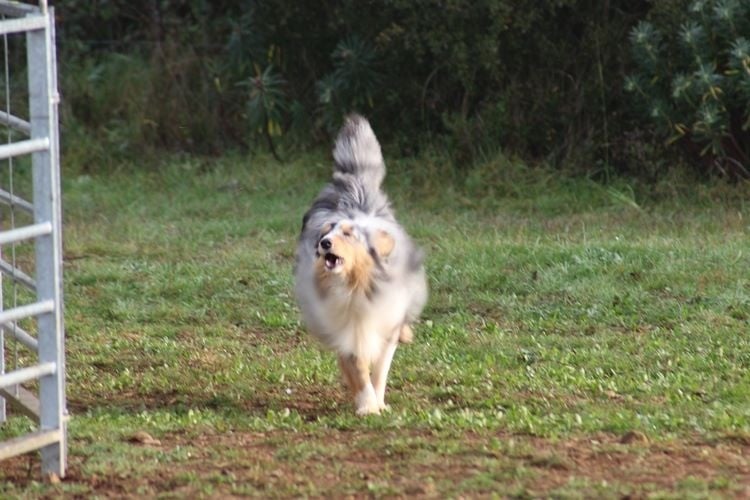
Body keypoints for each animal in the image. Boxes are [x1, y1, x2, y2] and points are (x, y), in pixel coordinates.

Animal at [296, 115, 432, 416]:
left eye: (348, 234)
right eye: (327, 232)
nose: (323, 243)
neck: (357, 285)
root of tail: (355, 185)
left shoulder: (385, 318)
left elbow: (381, 368)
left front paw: (378, 402)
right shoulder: (344, 326)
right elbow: (357, 368)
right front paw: (367, 405)